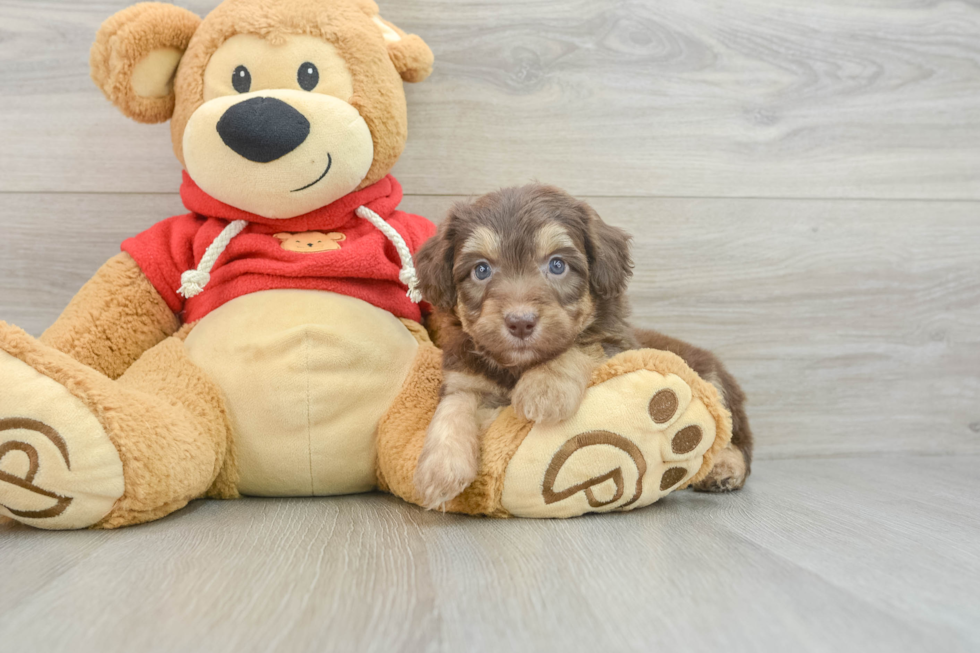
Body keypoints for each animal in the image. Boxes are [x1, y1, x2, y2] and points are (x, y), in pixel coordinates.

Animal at [410, 185, 756, 510]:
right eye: (481, 270)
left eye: (557, 265)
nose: (520, 322)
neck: (518, 367)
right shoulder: (463, 377)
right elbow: (453, 407)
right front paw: (440, 468)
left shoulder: (616, 343)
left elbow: (579, 345)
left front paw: (544, 388)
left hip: (712, 379)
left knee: (734, 437)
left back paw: (723, 467)